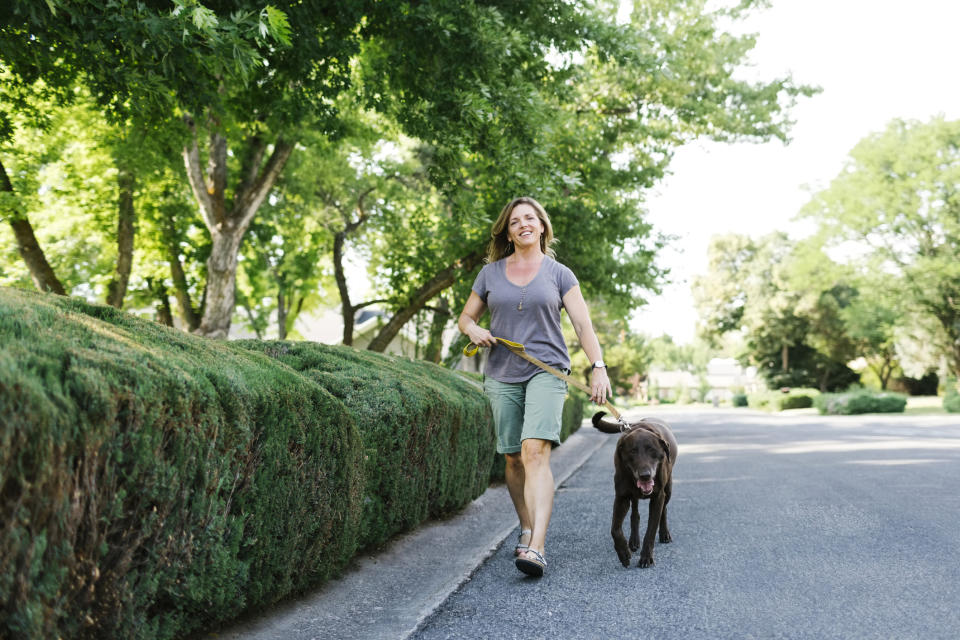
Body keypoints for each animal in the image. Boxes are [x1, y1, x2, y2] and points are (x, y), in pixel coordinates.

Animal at [588, 412, 680, 568]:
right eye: (632, 452)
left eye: (652, 450)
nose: (645, 475)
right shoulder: (621, 497)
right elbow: (615, 529)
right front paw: (623, 553)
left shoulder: (657, 497)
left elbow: (651, 530)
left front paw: (646, 557)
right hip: (633, 495)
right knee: (635, 513)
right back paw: (634, 541)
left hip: (668, 489)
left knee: (664, 509)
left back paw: (664, 533)